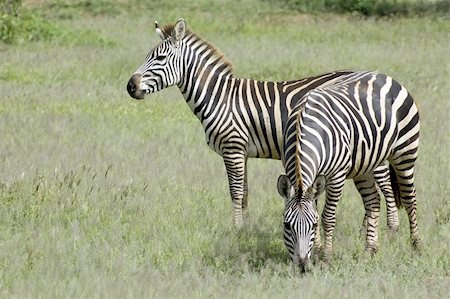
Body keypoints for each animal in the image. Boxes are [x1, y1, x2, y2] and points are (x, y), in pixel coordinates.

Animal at [125, 18, 398, 230]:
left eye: (160, 58)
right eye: (148, 56)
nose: (130, 87)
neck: (219, 97)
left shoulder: (233, 148)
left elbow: (235, 191)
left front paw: (235, 228)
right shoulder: (242, 152)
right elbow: (244, 193)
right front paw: (245, 228)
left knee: (386, 190)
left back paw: (391, 232)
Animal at [276, 71, 420, 274]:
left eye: (312, 225)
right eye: (287, 225)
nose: (303, 265)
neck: (301, 129)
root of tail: (382, 75)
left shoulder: (336, 176)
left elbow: (327, 217)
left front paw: (326, 259)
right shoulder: (312, 182)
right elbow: (316, 209)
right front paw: (317, 253)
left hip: (405, 153)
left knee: (409, 199)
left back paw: (416, 246)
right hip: (365, 165)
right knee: (373, 201)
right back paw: (369, 250)